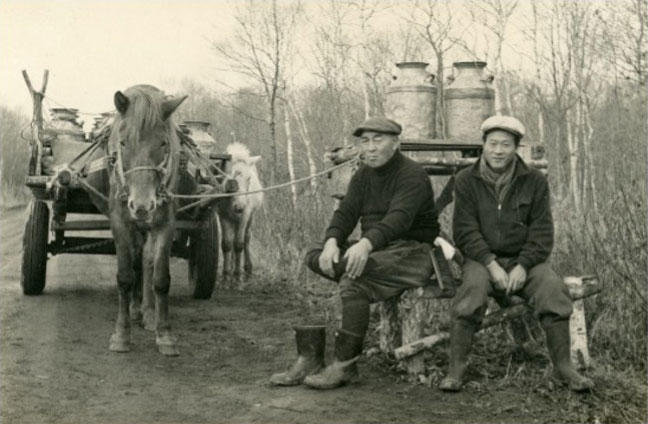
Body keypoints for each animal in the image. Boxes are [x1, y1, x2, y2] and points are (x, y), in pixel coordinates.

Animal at [104, 84, 189, 356]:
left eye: (163, 144)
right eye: (123, 143)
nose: (142, 205)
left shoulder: (165, 223)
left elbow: (160, 277)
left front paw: (165, 335)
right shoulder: (120, 222)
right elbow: (124, 276)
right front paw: (121, 335)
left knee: (147, 261)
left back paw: (149, 313)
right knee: (136, 259)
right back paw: (134, 309)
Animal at [218, 143, 264, 288]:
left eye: (249, 179)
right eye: (230, 178)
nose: (239, 207)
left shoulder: (244, 216)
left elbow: (239, 245)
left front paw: (238, 278)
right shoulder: (223, 217)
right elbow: (227, 244)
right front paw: (226, 278)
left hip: (250, 217)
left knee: (246, 239)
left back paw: (247, 271)